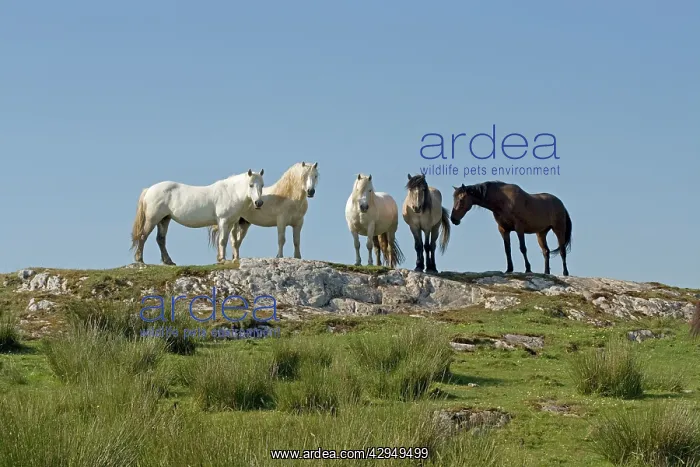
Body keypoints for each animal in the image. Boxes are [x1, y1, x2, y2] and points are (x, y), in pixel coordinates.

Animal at [130, 169, 265, 265]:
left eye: (262, 185)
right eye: (251, 185)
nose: (258, 203)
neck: (231, 193)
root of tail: (149, 189)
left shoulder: (230, 223)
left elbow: (227, 240)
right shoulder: (223, 221)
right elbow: (222, 240)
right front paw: (222, 259)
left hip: (164, 219)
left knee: (161, 239)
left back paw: (168, 261)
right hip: (152, 219)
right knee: (143, 236)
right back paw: (140, 260)